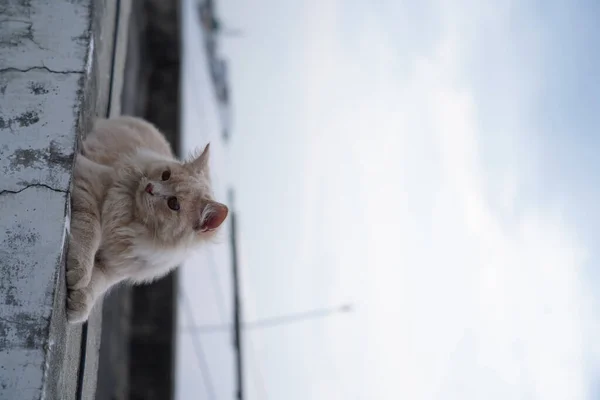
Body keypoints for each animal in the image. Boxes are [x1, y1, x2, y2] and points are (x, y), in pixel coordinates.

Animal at [65, 115, 229, 322]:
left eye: (174, 204)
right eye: (166, 175)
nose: (150, 187)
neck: (129, 224)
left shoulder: (116, 266)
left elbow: (97, 283)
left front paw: (79, 303)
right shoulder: (89, 180)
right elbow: (90, 233)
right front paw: (79, 272)